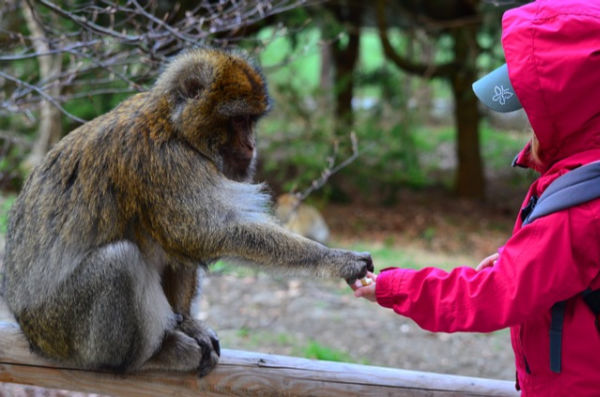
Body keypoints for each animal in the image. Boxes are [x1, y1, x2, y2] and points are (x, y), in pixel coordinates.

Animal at [0, 48, 372, 376]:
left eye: (252, 121)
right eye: (238, 120)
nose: (251, 145)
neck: (173, 125)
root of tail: (27, 326)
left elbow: (185, 244)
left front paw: (188, 323)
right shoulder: (162, 161)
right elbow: (200, 232)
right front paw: (334, 259)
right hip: (59, 327)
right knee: (120, 262)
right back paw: (146, 356)